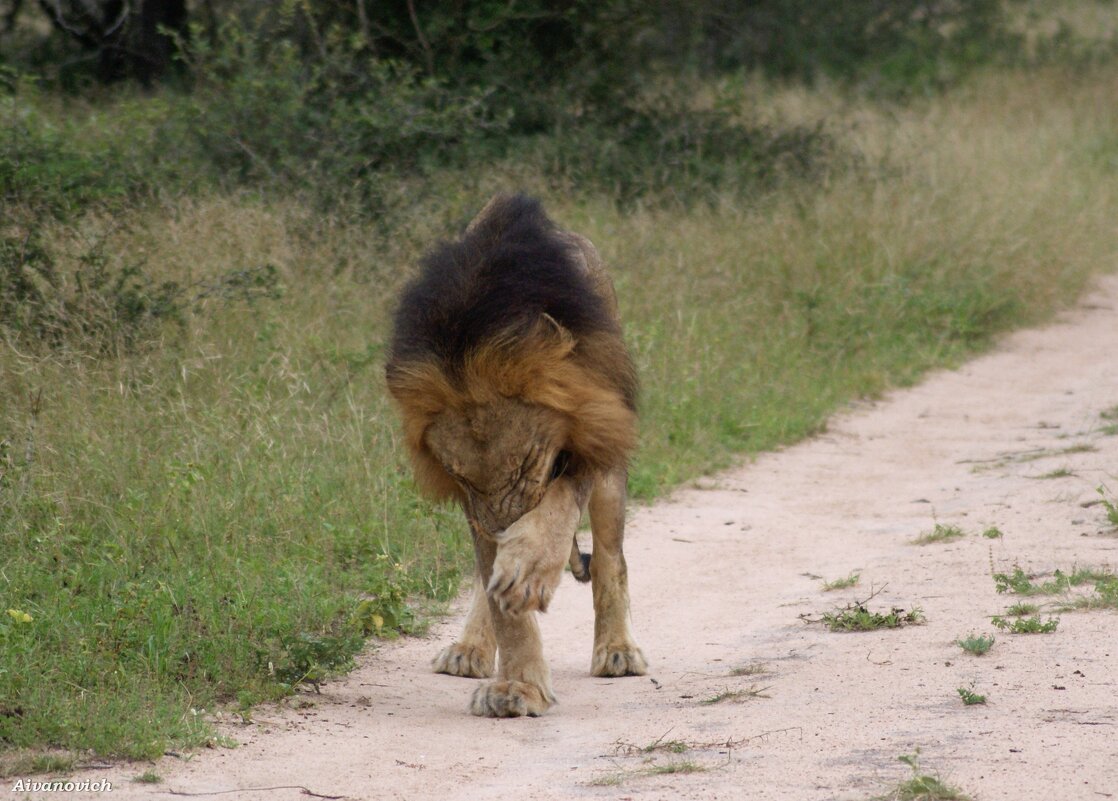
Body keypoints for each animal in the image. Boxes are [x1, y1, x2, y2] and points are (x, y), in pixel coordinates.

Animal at [386, 193, 648, 720]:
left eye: (527, 463)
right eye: (459, 476)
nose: (504, 535)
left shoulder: (589, 436)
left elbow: (558, 512)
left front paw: (527, 568)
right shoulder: (473, 505)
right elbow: (497, 594)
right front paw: (518, 686)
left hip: (612, 462)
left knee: (611, 557)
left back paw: (617, 650)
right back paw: (469, 647)